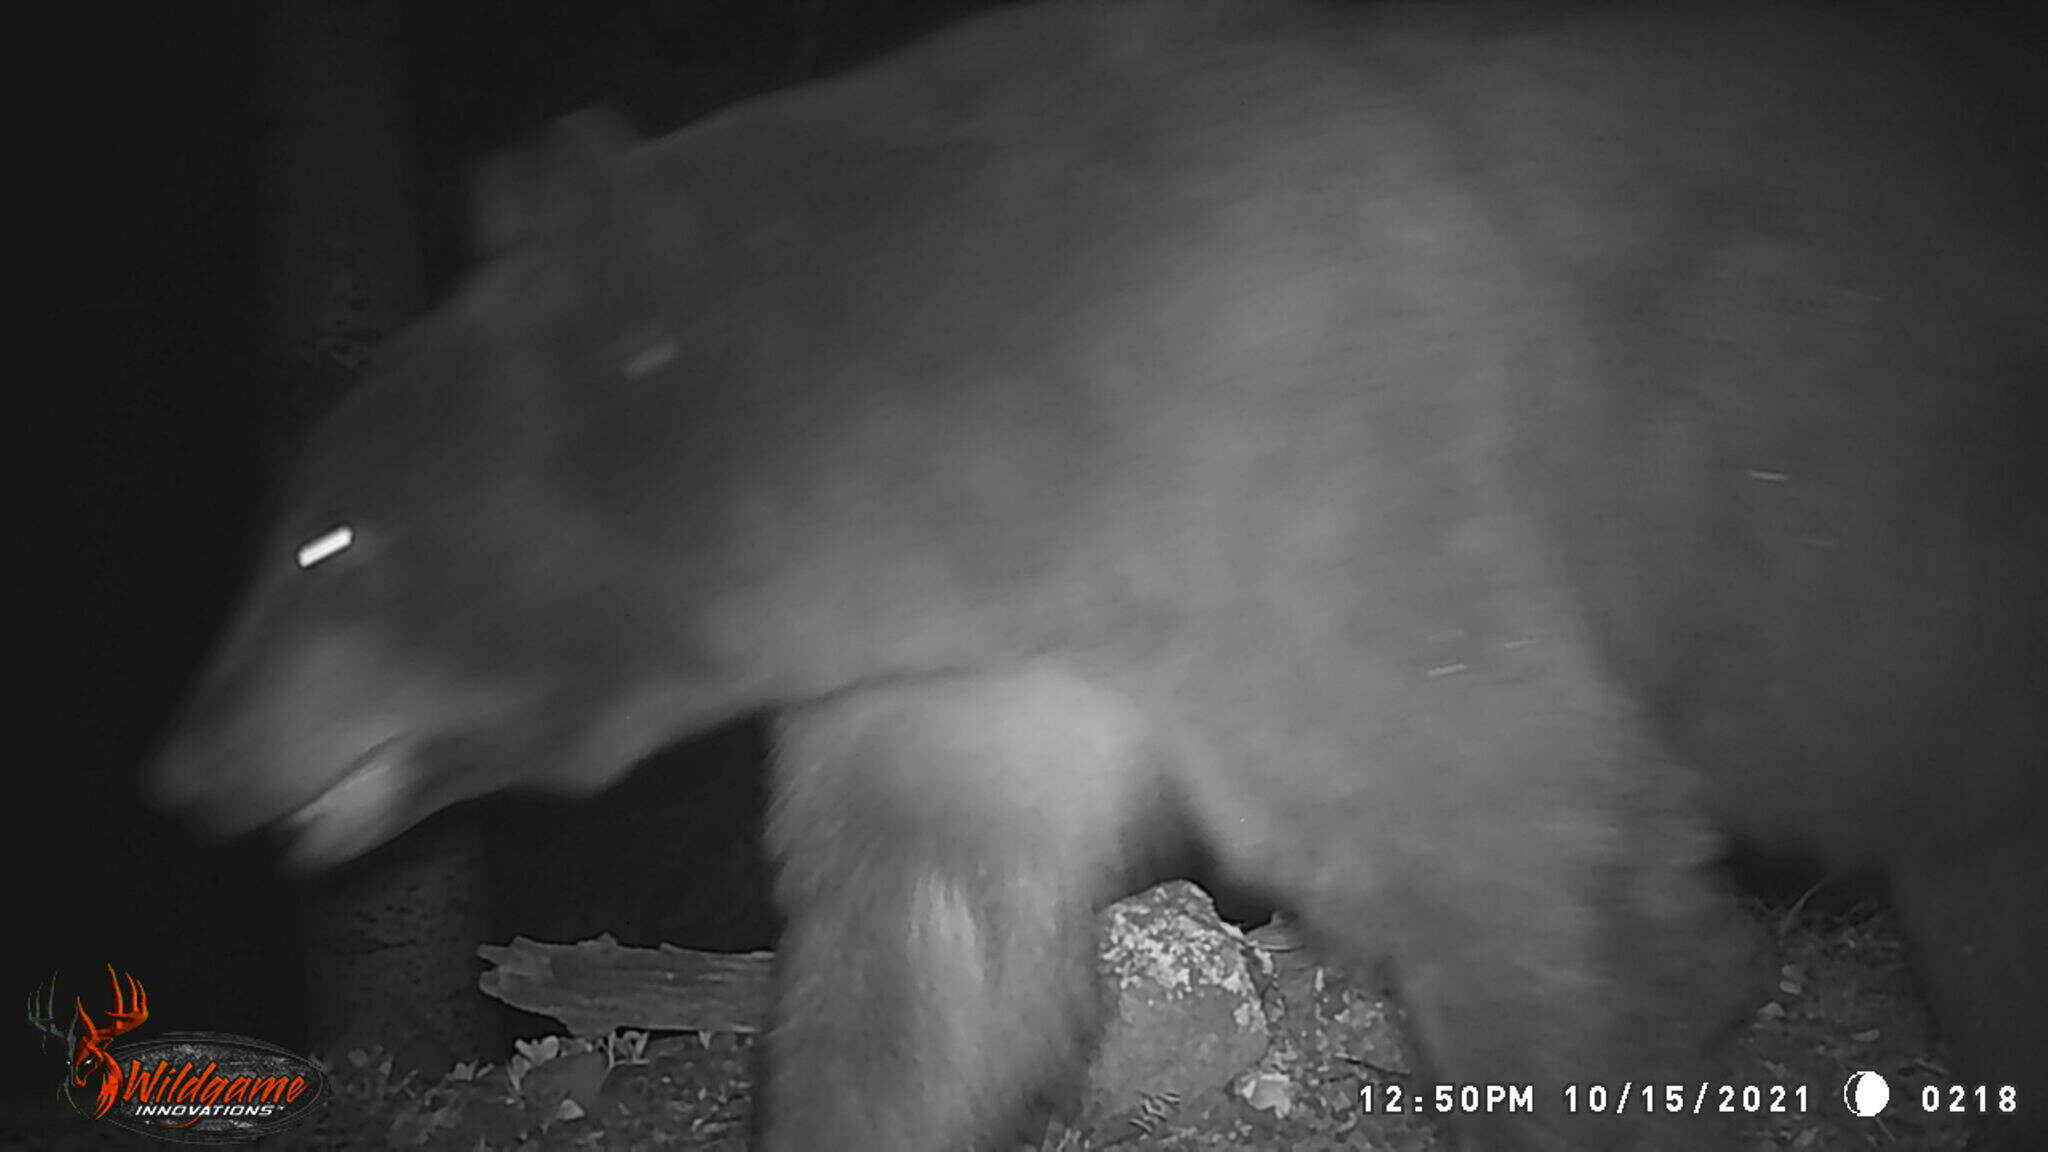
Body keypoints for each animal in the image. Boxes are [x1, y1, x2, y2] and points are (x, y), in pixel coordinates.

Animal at [148, 2, 2048, 1147]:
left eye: (322, 539)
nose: (183, 764)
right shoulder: (976, 665)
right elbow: (931, 947)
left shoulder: (1332, 478)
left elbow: (1545, 897)